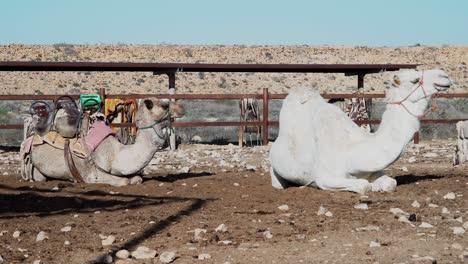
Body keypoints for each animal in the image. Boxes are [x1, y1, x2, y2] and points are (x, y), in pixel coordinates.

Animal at [22, 98, 184, 187]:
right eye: (164, 105)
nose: (182, 108)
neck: (115, 154)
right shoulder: (92, 175)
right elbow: (124, 182)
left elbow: (137, 178)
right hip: (35, 171)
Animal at [268, 69, 452, 194]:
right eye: (415, 80)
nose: (444, 76)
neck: (353, 151)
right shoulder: (325, 177)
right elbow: (364, 186)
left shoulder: (374, 171)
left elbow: (390, 183)